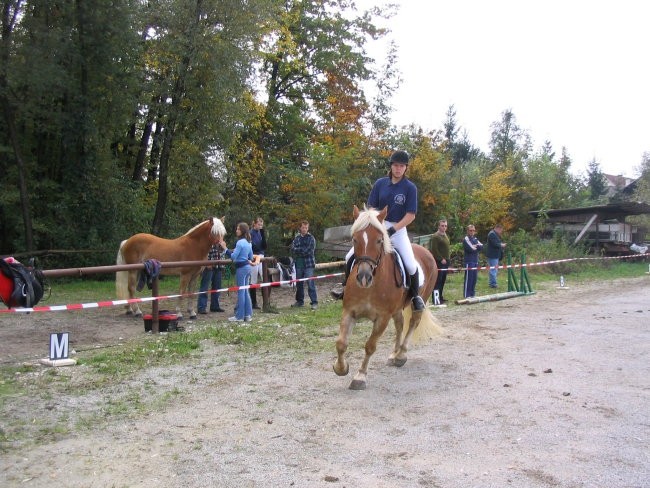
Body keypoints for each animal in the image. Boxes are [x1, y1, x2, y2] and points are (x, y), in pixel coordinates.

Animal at [332, 205, 438, 388]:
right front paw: (341, 368)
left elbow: (370, 346)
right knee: (400, 324)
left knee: (413, 322)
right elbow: (341, 343)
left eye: (379, 240)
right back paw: (394, 354)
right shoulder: (349, 312)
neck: (371, 287)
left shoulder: (382, 318)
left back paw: (401, 355)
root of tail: (425, 250)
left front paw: (360, 376)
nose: (364, 277)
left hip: (420, 300)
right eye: (355, 239)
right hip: (396, 308)